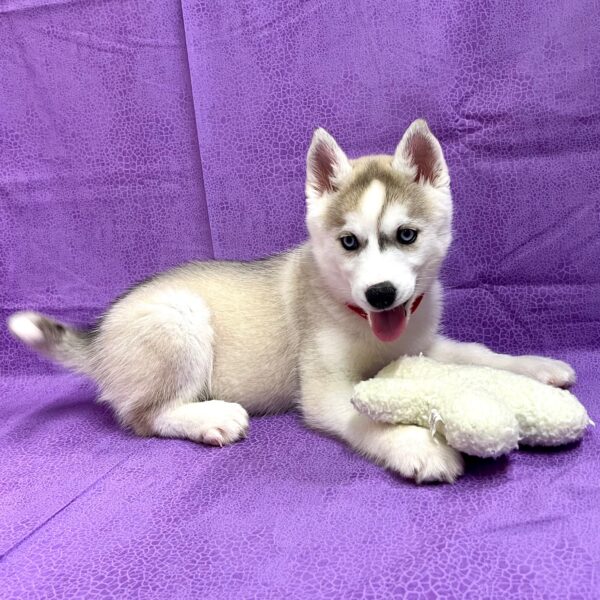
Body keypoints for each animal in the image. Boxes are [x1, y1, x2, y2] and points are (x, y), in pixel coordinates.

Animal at [7, 118, 576, 482]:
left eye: (406, 235)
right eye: (349, 242)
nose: (381, 294)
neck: (359, 319)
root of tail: (100, 336)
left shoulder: (420, 345)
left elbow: (477, 353)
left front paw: (537, 367)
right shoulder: (324, 391)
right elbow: (367, 417)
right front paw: (418, 444)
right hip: (179, 319)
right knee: (143, 417)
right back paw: (208, 418)